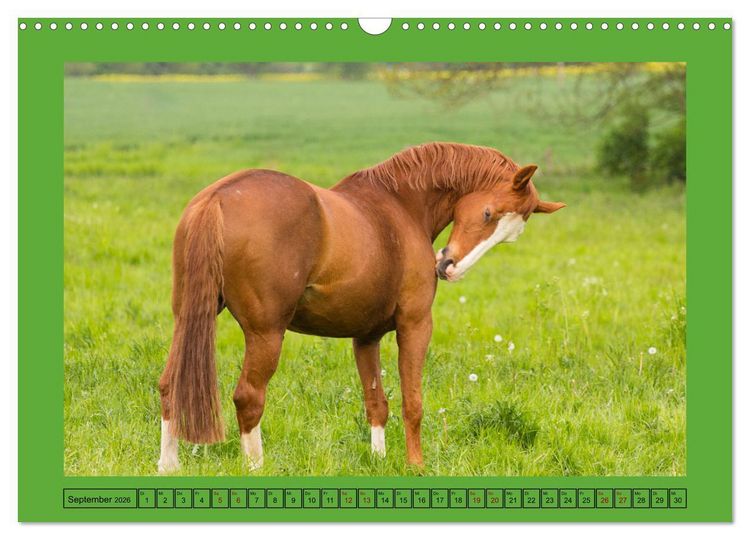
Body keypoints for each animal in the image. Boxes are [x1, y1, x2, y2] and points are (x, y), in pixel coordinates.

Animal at [157, 142, 565, 473]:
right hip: (266, 334)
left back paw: (168, 466)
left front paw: (378, 459)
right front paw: (415, 466)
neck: (399, 206)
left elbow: (376, 401)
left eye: (509, 236)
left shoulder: (366, 337)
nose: (451, 268)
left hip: (188, 318)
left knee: (169, 386)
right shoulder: (415, 325)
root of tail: (218, 197)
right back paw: (255, 467)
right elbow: (412, 402)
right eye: (487, 213)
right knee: (249, 397)